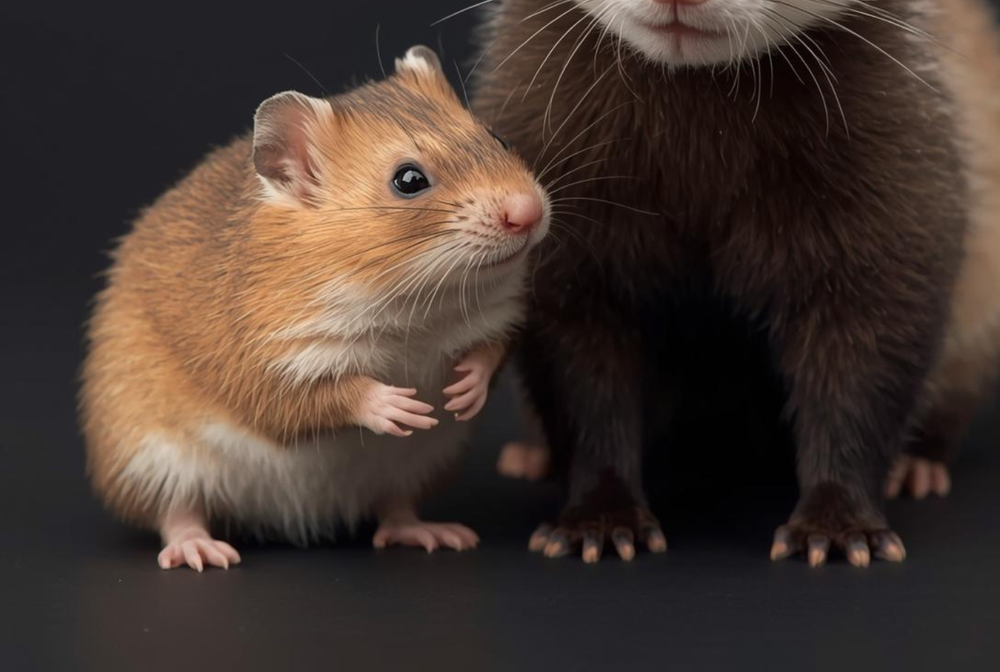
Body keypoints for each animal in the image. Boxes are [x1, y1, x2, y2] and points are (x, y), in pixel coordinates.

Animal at [79, 45, 550, 571]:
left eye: (496, 137)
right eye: (408, 180)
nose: (529, 213)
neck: (415, 302)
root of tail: (292, 517)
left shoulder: (503, 317)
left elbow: (489, 353)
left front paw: (463, 392)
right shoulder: (268, 365)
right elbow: (332, 394)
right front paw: (401, 406)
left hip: (418, 466)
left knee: (395, 509)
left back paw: (433, 533)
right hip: (150, 458)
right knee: (177, 512)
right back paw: (199, 550)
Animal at [472, 0, 1000, 566]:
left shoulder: (894, 207)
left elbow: (862, 373)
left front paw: (838, 524)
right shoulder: (570, 255)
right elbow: (585, 389)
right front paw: (599, 520)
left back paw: (918, 468)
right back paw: (529, 456)